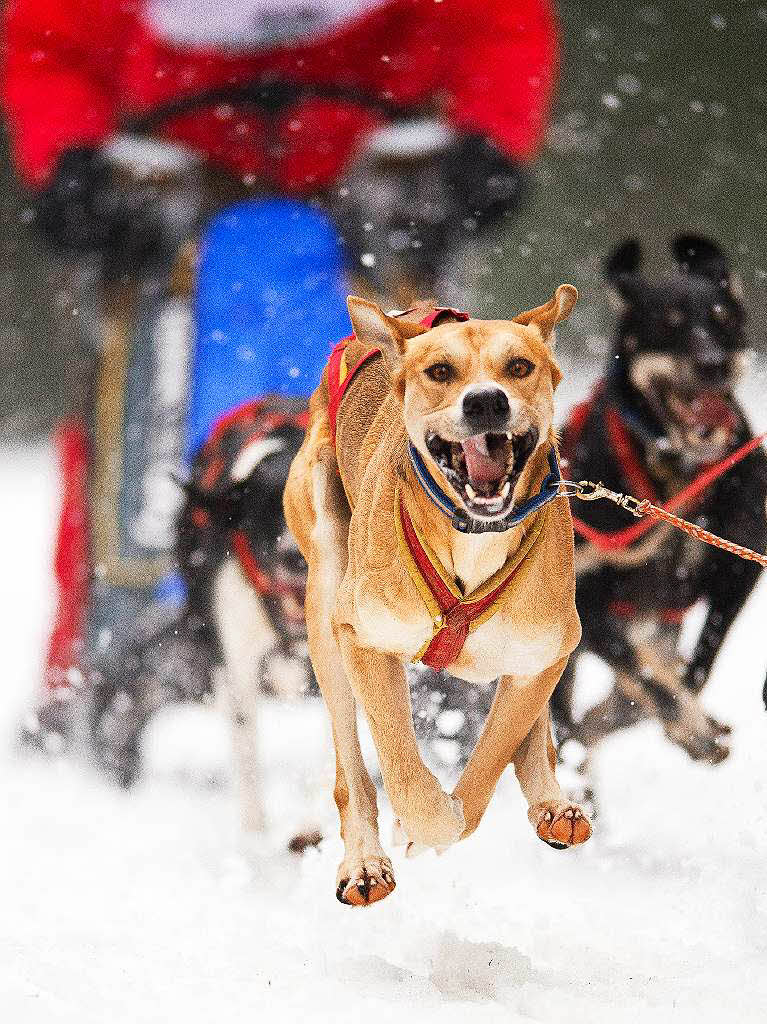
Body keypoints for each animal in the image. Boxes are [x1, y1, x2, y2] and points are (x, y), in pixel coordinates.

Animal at [284, 288, 589, 905]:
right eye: (440, 372)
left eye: (519, 366)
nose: (487, 402)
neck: (471, 536)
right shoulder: (365, 641)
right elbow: (401, 765)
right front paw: (420, 825)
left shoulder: (542, 655)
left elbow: (492, 758)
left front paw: (456, 812)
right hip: (326, 600)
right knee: (352, 772)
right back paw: (365, 862)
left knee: (534, 735)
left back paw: (551, 802)